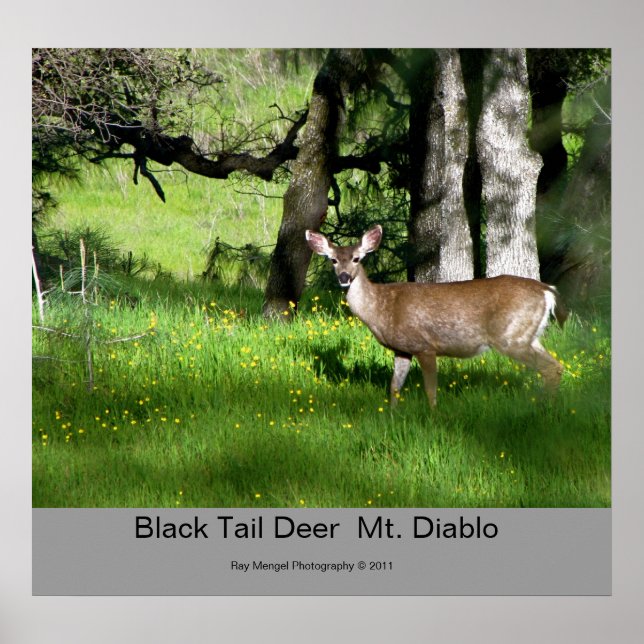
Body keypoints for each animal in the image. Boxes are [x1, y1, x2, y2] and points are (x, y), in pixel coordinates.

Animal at [305, 225, 567, 407]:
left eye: (357, 258)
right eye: (333, 260)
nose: (344, 278)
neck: (382, 307)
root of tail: (548, 290)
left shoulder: (425, 345)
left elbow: (430, 390)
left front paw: (434, 416)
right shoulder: (403, 348)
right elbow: (394, 386)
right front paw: (392, 414)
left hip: (511, 337)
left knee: (549, 368)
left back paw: (544, 409)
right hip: (529, 335)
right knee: (557, 365)